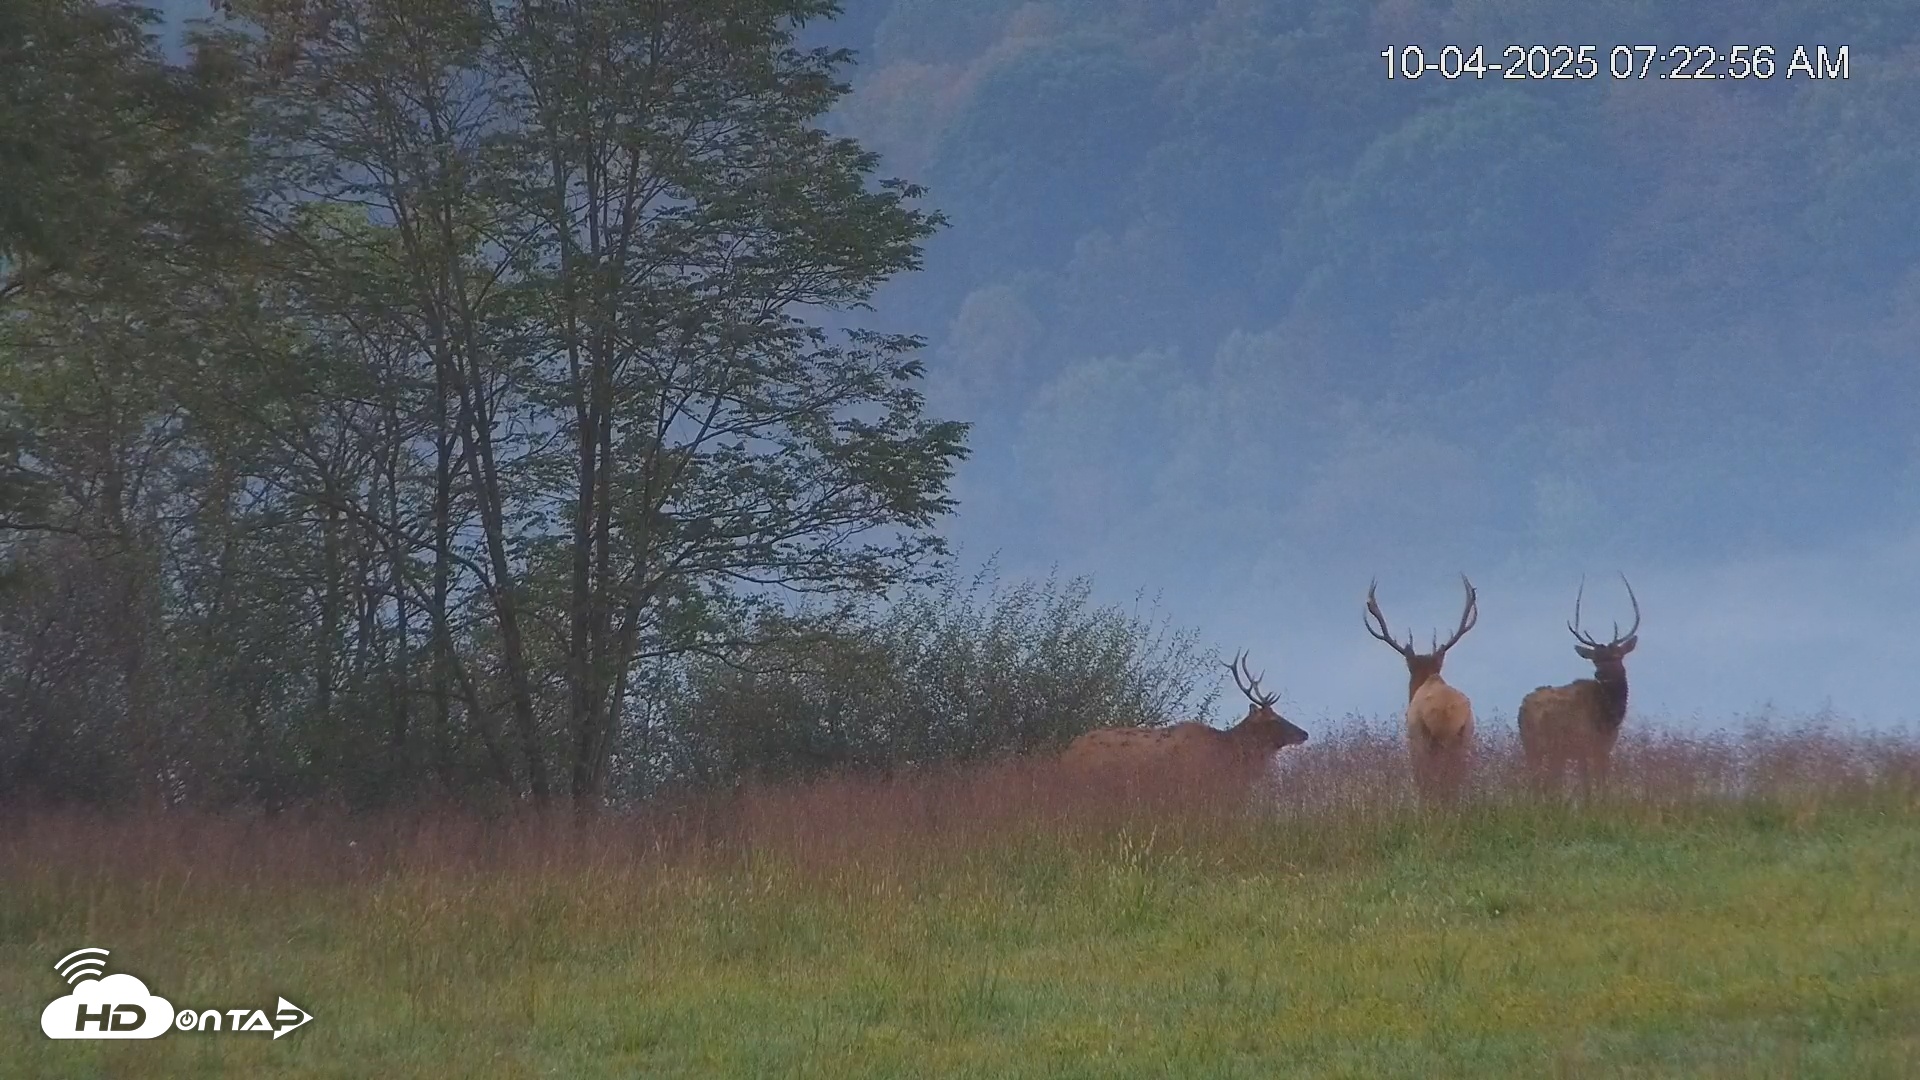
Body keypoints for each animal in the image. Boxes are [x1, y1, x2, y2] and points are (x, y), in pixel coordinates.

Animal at [1517, 574, 1641, 799]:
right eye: (1595, 660)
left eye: (1617, 656)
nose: (1600, 674)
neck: (1608, 719)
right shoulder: (1582, 744)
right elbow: (1587, 785)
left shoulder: (1604, 748)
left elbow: (1602, 781)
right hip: (1534, 744)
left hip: (1551, 751)